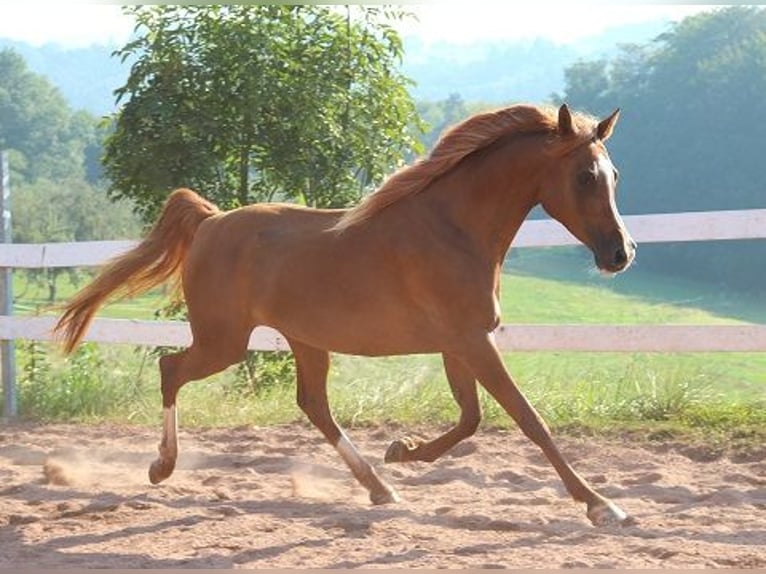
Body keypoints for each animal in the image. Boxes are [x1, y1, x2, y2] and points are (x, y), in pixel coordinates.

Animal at [57, 102, 640, 528]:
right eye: (585, 176)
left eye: (615, 173)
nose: (621, 253)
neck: (452, 229)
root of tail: (210, 221)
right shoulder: (472, 341)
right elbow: (528, 419)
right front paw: (602, 506)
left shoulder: (461, 343)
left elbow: (471, 418)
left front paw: (401, 451)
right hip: (225, 341)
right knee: (171, 369)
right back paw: (162, 466)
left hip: (304, 340)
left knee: (313, 405)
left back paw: (382, 488)